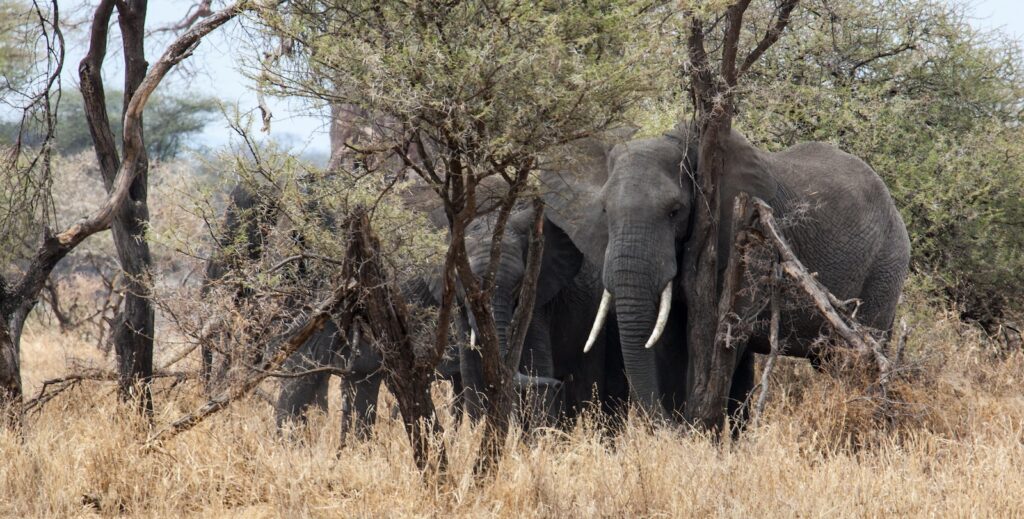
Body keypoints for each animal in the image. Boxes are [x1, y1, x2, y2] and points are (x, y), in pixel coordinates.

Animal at [544, 122, 913, 425]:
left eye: (675, 211)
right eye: (605, 211)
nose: (668, 424)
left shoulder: (749, 238)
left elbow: (724, 335)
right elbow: (669, 340)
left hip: (886, 264)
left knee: (857, 360)